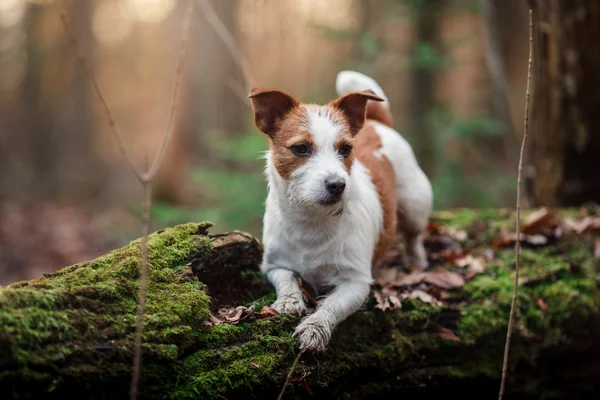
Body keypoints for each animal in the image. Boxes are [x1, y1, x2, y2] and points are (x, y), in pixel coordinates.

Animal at [247, 70, 432, 352]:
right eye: (300, 148)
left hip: (414, 203)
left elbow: (332, 306)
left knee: (413, 235)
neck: (313, 221)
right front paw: (289, 300)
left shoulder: (355, 283)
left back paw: (416, 259)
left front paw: (315, 328)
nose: (337, 185)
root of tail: (377, 122)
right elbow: (286, 280)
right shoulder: (275, 265)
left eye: (346, 149)